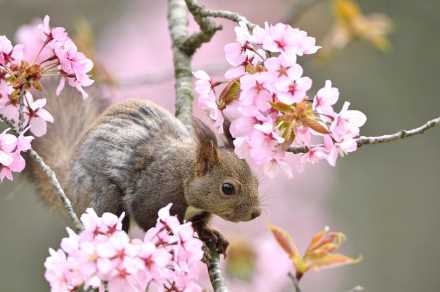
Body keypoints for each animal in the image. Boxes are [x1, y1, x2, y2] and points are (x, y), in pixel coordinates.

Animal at [31, 85, 262, 254]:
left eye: (257, 181)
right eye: (227, 188)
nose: (256, 213)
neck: (184, 175)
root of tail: (68, 181)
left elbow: (200, 223)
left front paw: (211, 235)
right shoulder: (152, 196)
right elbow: (147, 219)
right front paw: (173, 240)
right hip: (102, 195)